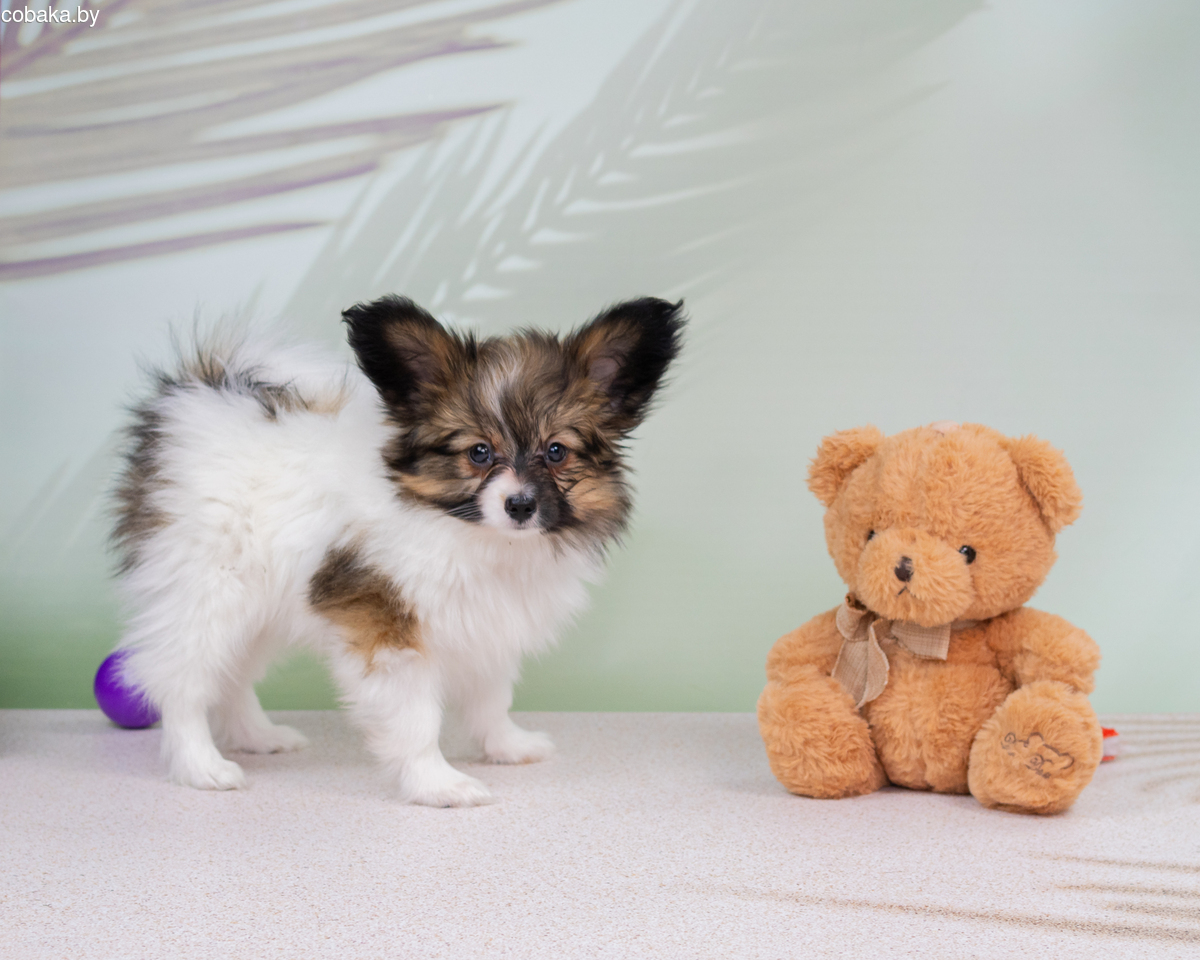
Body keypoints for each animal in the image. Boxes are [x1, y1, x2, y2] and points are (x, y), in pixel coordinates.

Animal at [111, 295, 684, 805]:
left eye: (557, 451)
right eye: (479, 452)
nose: (520, 504)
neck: (469, 533)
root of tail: (203, 394)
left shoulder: (486, 625)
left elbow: (491, 698)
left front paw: (506, 746)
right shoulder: (387, 631)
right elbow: (416, 720)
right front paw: (437, 785)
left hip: (259, 609)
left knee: (231, 676)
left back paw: (258, 736)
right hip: (209, 592)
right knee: (181, 681)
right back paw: (201, 766)